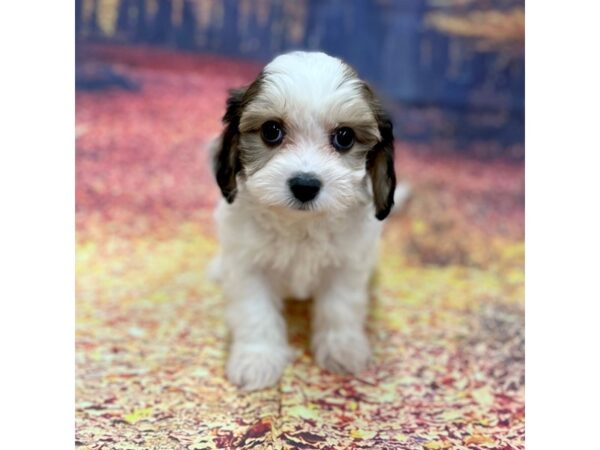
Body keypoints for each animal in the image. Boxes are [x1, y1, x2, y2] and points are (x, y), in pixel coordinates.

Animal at [209, 51, 410, 390]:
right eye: (271, 131)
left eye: (344, 137)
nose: (305, 185)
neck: (300, 225)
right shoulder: (247, 267)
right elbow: (255, 313)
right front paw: (257, 359)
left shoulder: (347, 265)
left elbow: (340, 307)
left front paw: (342, 349)